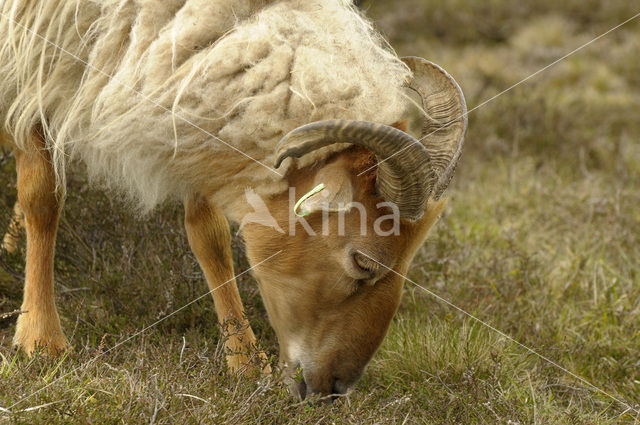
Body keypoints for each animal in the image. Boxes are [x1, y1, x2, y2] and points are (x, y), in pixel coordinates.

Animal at [2, 0, 468, 398]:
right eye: (363, 263)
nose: (335, 390)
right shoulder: (30, 58)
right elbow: (43, 197)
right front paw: (41, 340)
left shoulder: (189, 106)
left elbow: (208, 236)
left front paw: (244, 360)